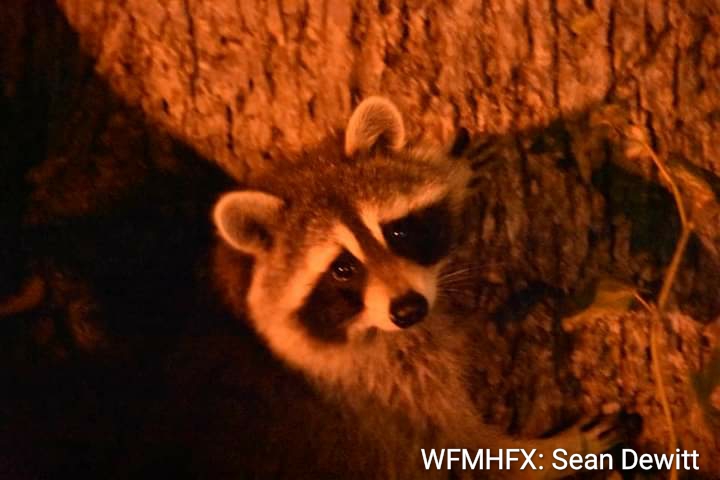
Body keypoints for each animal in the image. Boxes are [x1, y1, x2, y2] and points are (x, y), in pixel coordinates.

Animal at [211, 97, 618, 478]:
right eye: (343, 268)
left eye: (397, 233)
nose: (410, 309)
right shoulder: (377, 389)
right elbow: (454, 449)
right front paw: (544, 457)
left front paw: (456, 171)